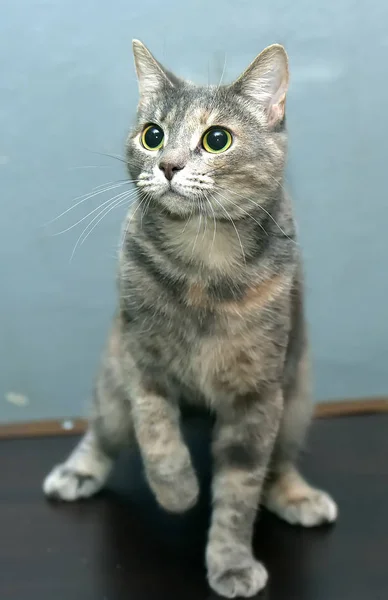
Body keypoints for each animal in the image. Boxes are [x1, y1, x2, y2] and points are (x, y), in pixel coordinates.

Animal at [44, 39, 338, 596]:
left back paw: (295, 494)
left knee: (280, 461)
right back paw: (79, 472)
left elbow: (240, 491)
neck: (206, 265)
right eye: (152, 135)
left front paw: (231, 562)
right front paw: (177, 490)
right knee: (103, 429)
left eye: (216, 139)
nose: (169, 166)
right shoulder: (141, 362)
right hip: (112, 386)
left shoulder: (258, 395)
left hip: (297, 399)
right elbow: (158, 436)